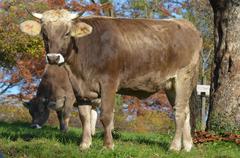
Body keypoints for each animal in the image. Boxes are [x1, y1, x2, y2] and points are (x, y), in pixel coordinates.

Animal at [19, 8, 202, 152]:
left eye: (66, 33)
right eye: (44, 34)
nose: (53, 58)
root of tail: (187, 25)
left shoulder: (108, 83)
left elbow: (106, 115)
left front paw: (108, 145)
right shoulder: (80, 88)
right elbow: (84, 116)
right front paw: (85, 144)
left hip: (183, 77)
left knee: (179, 112)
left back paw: (175, 147)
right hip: (171, 85)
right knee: (186, 111)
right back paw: (187, 146)